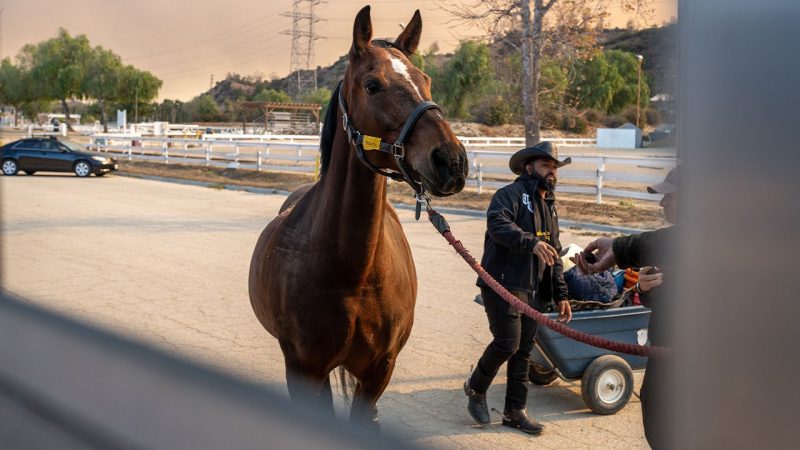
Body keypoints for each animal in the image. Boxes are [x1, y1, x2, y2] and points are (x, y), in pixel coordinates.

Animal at [247, 7, 466, 428]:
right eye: (372, 85)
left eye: (426, 80)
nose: (451, 161)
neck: (354, 272)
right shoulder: (303, 369)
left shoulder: (380, 370)